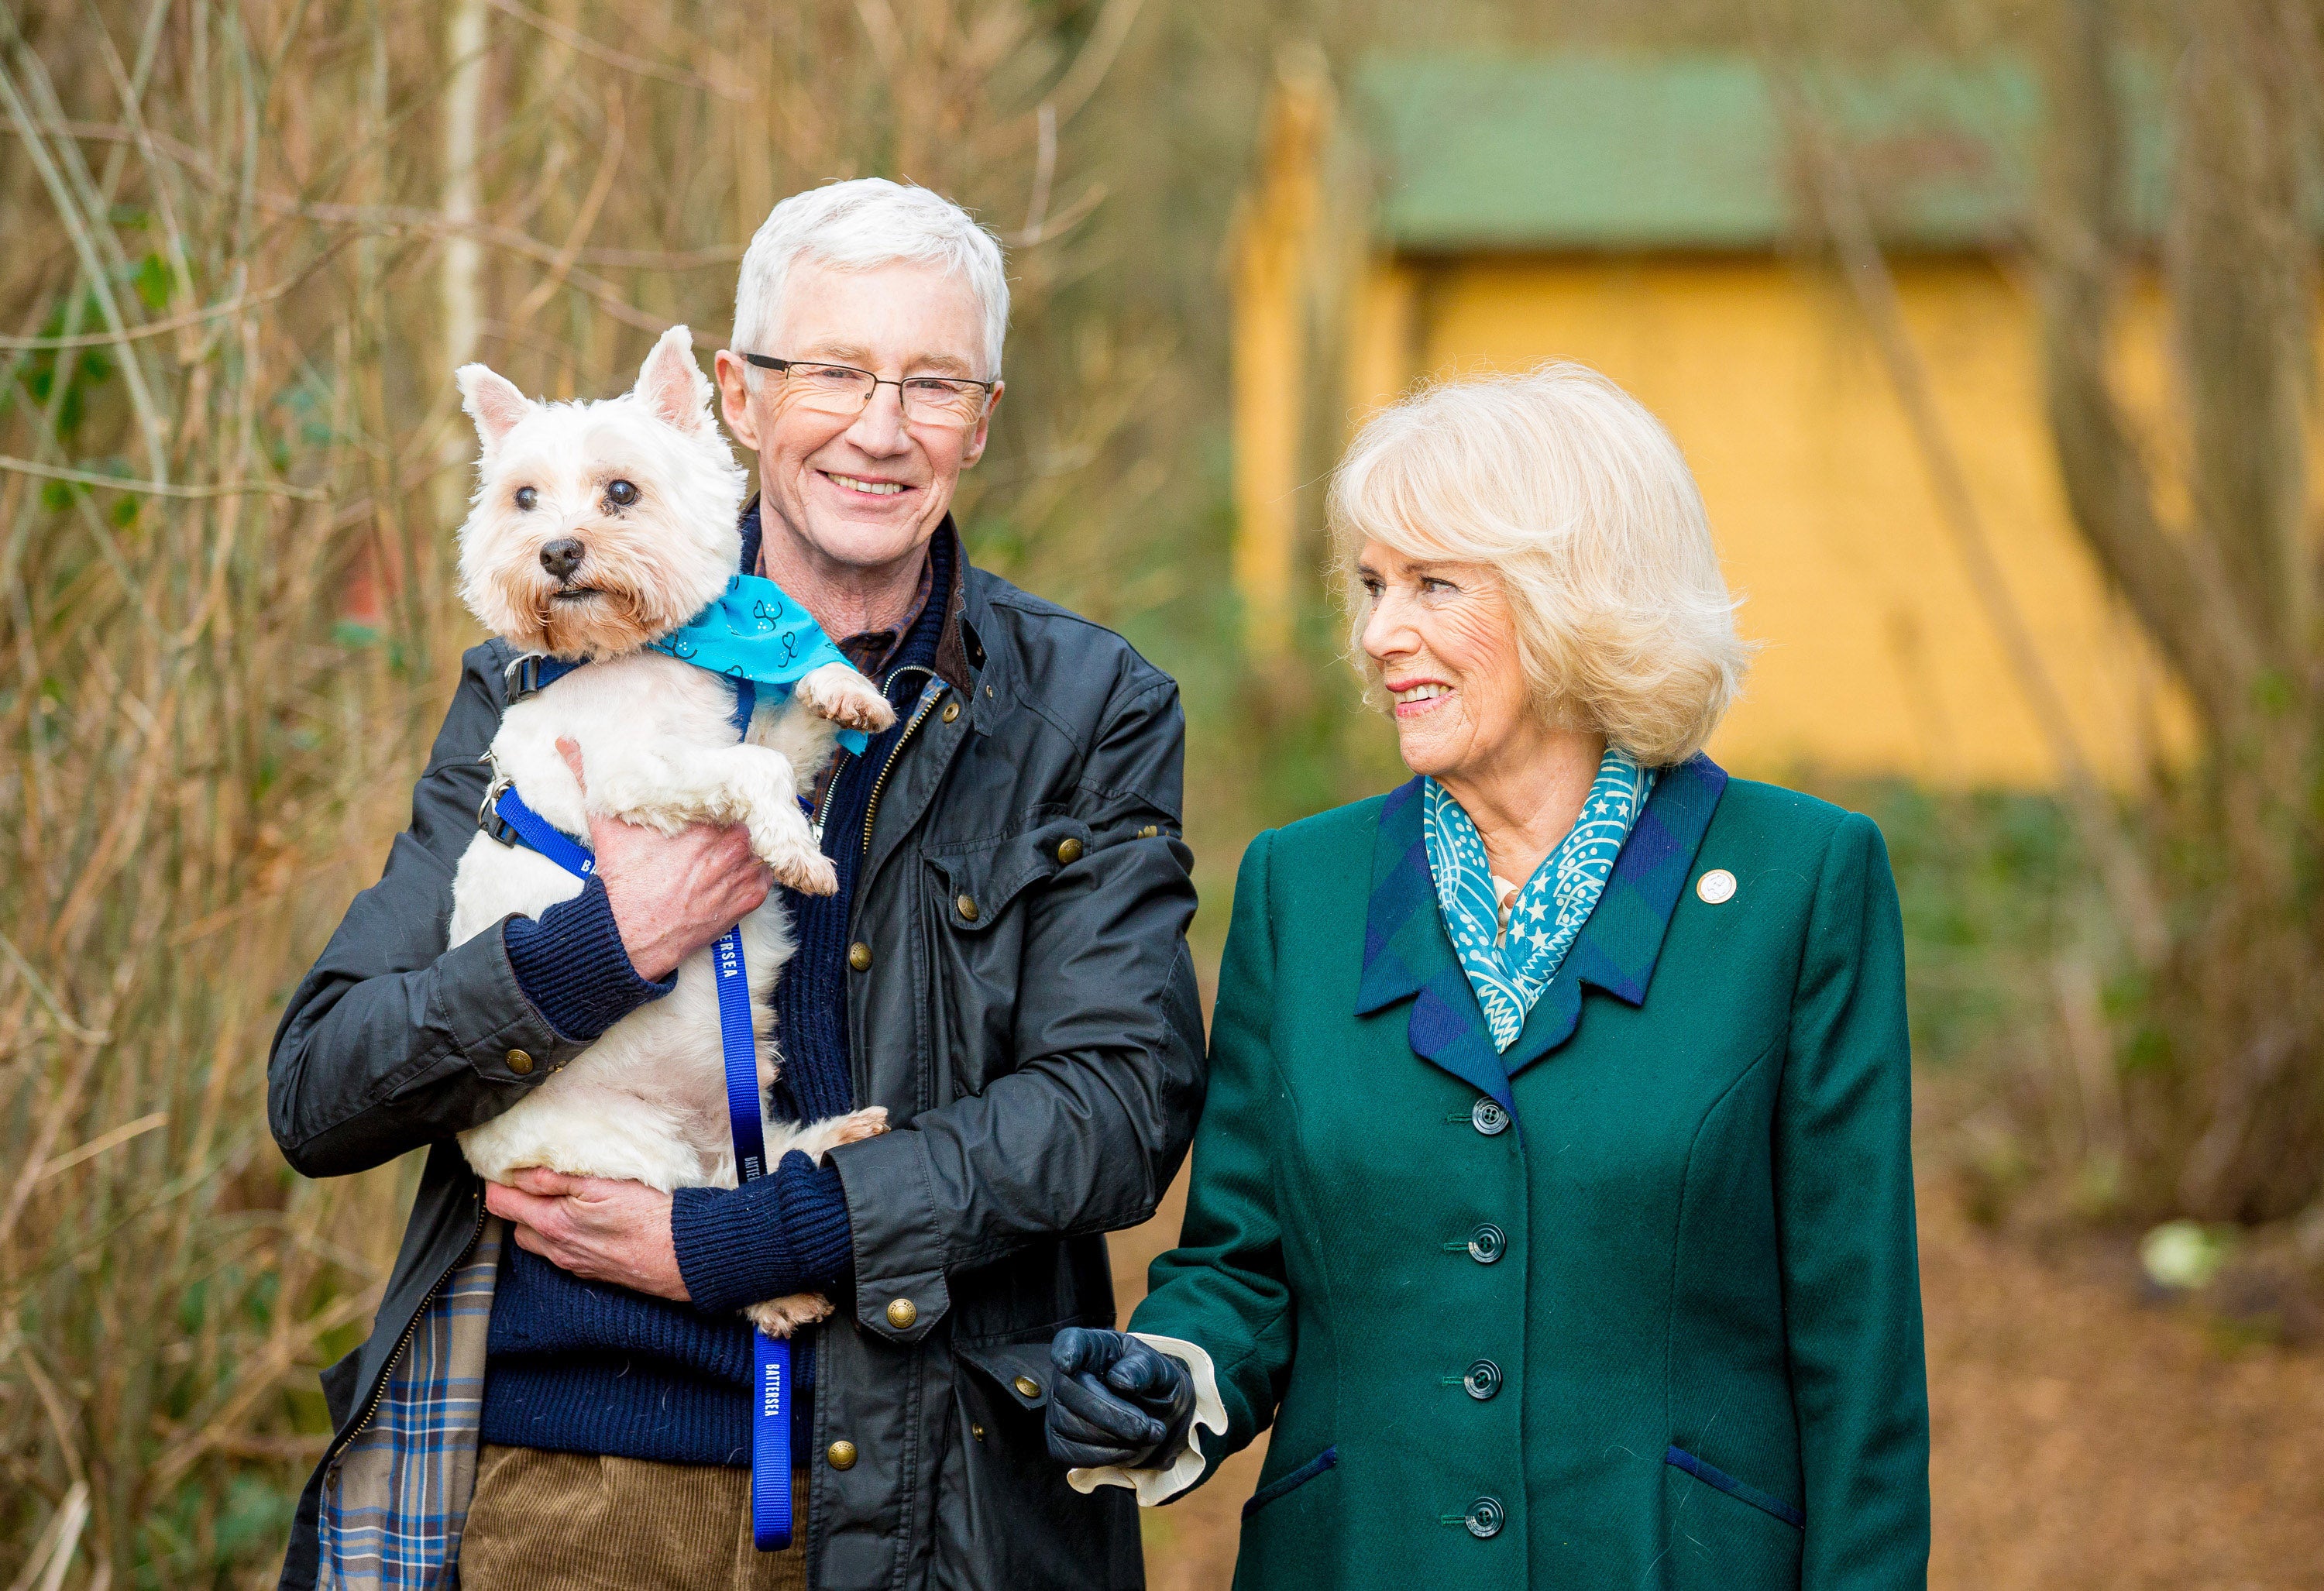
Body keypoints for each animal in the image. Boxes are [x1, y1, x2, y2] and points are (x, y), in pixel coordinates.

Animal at [442, 329, 888, 1338]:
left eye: (621, 490)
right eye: (523, 498)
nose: (557, 550)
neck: (638, 649)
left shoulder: (740, 728)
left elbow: (790, 730)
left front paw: (845, 685)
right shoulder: (636, 777)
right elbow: (755, 770)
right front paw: (796, 850)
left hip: (738, 1107)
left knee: (761, 1172)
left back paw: (840, 1134)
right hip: (625, 1151)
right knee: (705, 1216)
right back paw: (782, 1290)